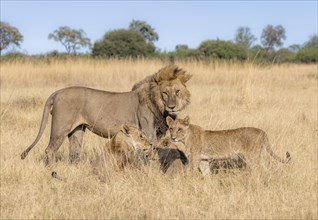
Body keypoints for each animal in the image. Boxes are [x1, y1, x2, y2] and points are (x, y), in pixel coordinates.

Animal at [22, 65, 193, 163]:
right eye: (165, 93)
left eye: (177, 92)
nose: (172, 107)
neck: (160, 107)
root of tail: (56, 93)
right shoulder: (148, 132)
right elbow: (150, 151)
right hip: (60, 128)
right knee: (50, 150)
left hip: (77, 130)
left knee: (74, 153)